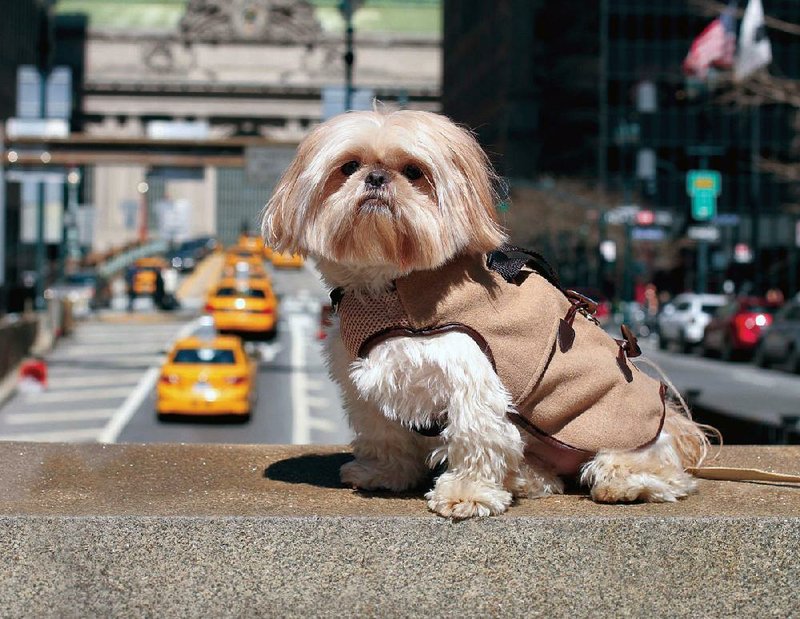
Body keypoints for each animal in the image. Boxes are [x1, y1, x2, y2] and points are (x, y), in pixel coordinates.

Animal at [262, 110, 712, 520]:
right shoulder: (370, 378)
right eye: (349, 166)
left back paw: (622, 481)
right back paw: (528, 478)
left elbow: (475, 434)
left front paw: (467, 493)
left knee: (659, 473)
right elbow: (383, 430)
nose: (375, 178)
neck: (392, 287)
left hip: (618, 431)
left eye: (414, 171)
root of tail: (678, 426)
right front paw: (384, 473)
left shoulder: (471, 371)